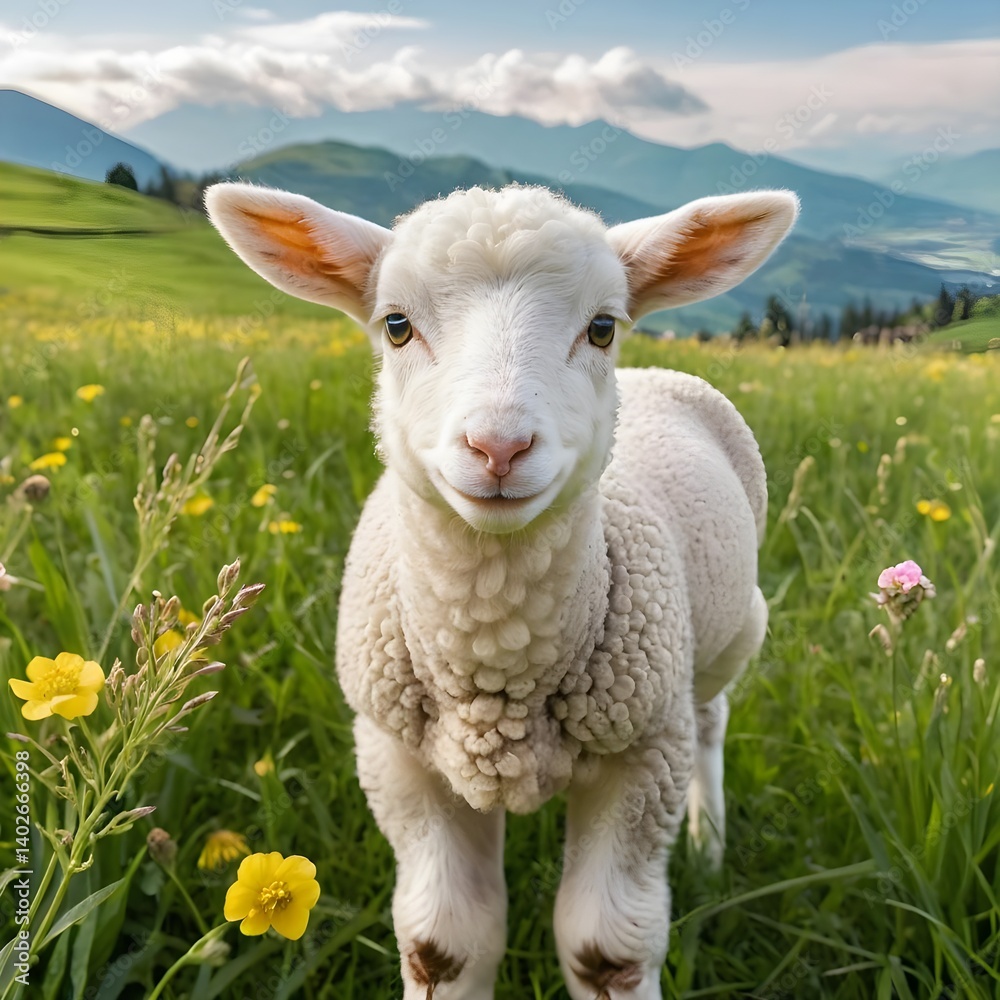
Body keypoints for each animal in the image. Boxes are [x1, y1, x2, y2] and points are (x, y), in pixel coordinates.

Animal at [205, 181, 798, 1000]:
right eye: (396, 326)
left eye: (602, 328)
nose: (499, 447)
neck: (497, 656)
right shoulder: (398, 759)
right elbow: (444, 943)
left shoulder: (644, 755)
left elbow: (605, 948)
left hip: (721, 642)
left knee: (711, 720)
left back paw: (708, 846)